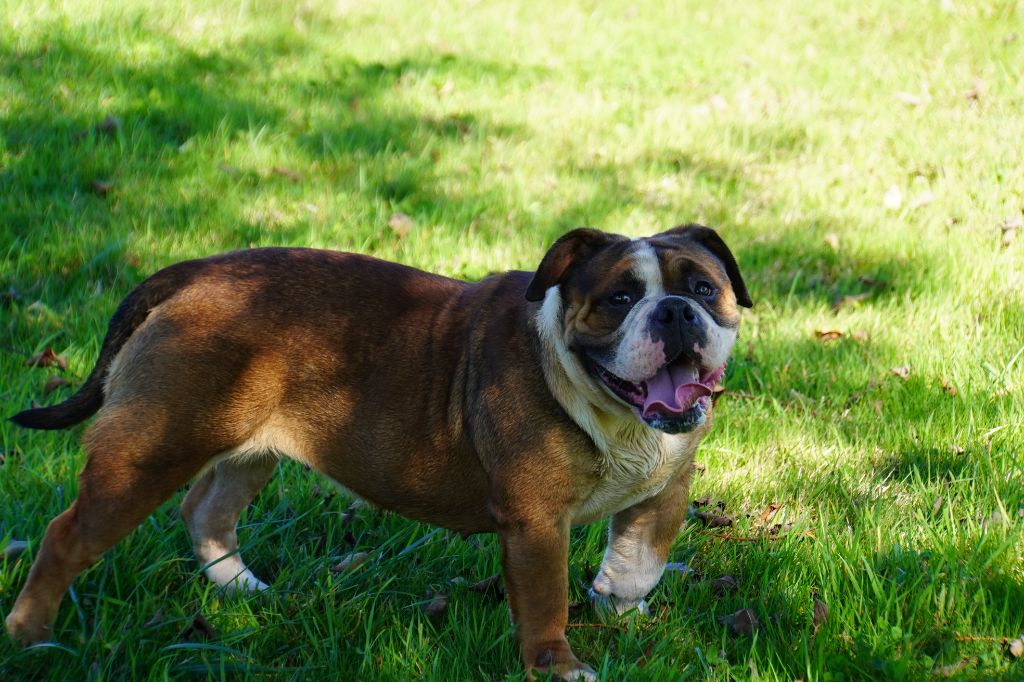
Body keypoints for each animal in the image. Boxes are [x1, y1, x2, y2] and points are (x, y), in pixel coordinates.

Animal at [6, 224, 753, 675]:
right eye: (620, 297)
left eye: (703, 288)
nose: (675, 312)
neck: (608, 409)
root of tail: (193, 274)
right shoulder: (537, 524)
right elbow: (545, 601)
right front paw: (558, 665)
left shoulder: (665, 489)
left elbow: (639, 560)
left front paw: (622, 610)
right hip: (149, 450)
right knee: (66, 536)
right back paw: (31, 637)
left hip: (247, 450)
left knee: (206, 511)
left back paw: (244, 587)